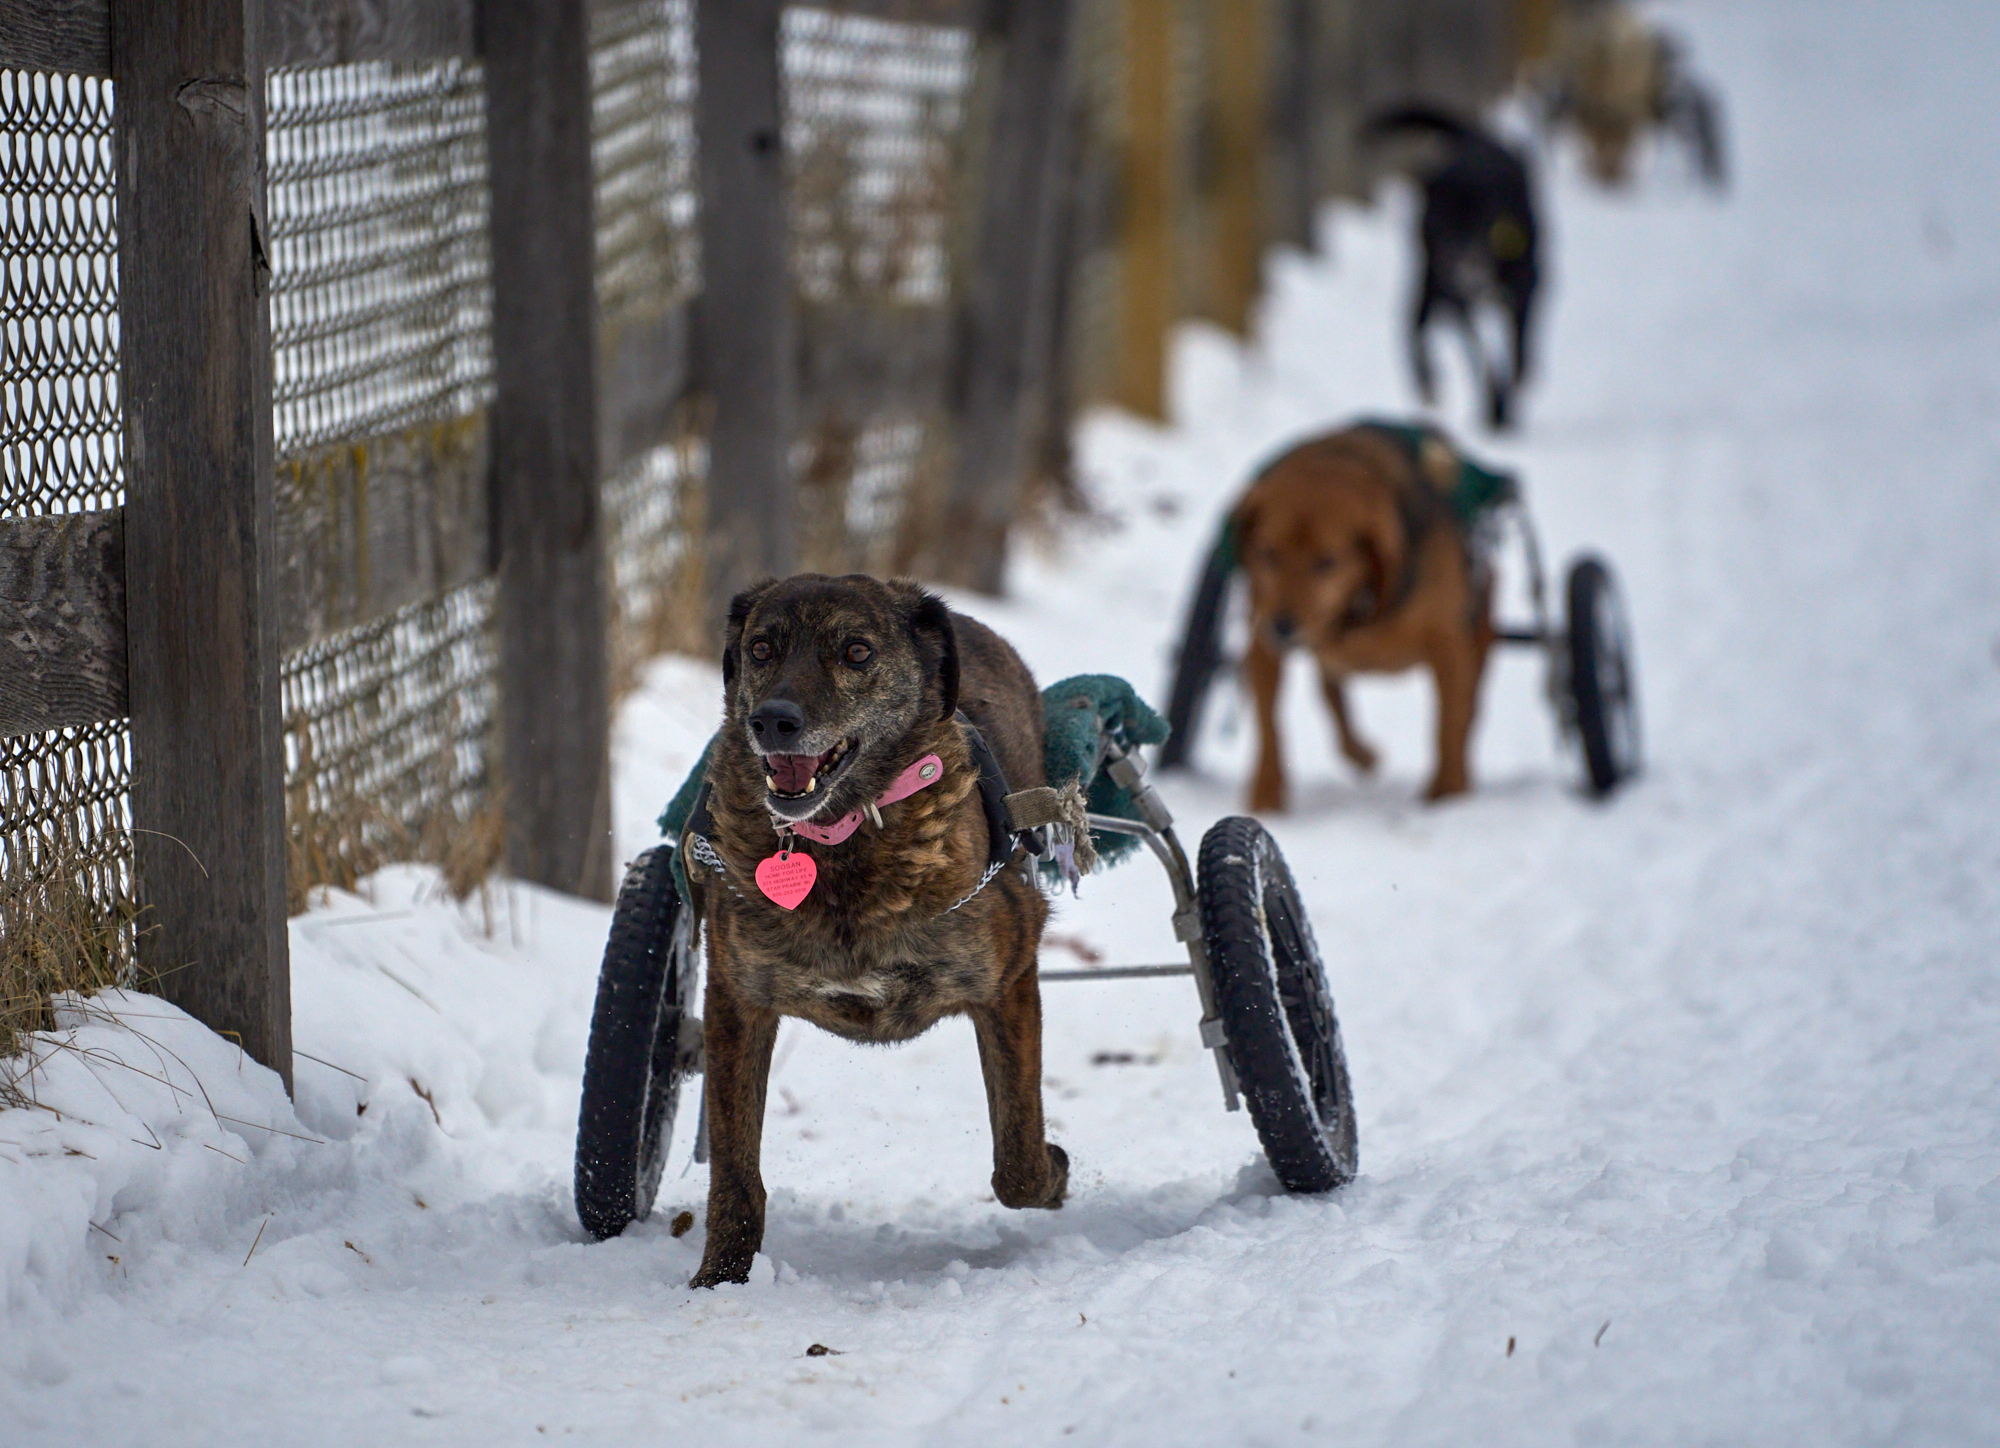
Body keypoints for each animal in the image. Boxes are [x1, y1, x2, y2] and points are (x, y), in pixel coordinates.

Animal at [1232, 428, 1504, 816]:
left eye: (1327, 561)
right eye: (1268, 553)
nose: (1282, 627)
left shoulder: (1448, 646)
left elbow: (1448, 723)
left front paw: (1449, 794)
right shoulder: (1262, 643)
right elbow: (1268, 723)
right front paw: (1266, 795)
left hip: (1479, 638)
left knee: (1469, 710)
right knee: (1331, 694)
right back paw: (1360, 752)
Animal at [1368, 107, 1536, 430]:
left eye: (1480, 223)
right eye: (1438, 228)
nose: (1460, 264)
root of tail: (1472, 138)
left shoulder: (1527, 290)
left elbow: (1519, 357)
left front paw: (1506, 404)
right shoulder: (1455, 298)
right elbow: (1482, 354)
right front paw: (1495, 407)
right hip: (1427, 283)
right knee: (1415, 327)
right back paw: (1428, 383)